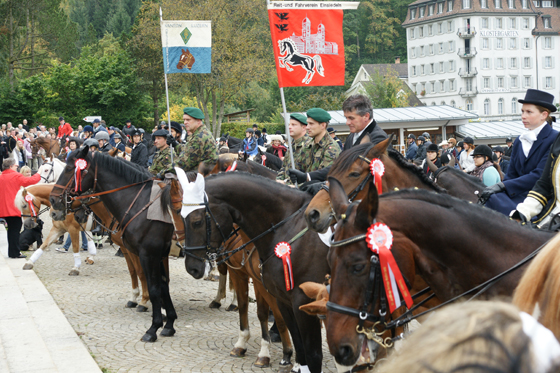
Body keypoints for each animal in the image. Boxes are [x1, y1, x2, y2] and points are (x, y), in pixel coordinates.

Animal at [52, 147, 177, 340]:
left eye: (69, 169)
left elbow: (152, 283)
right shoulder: (146, 252)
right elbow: (153, 281)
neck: (139, 204)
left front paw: (152, 323)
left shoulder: (148, 254)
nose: (53, 201)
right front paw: (167, 321)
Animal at [182, 173, 332, 372]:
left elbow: (311, 353)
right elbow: (249, 307)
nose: (192, 267)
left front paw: (269, 353)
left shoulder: (300, 300)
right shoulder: (277, 294)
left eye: (197, 222)